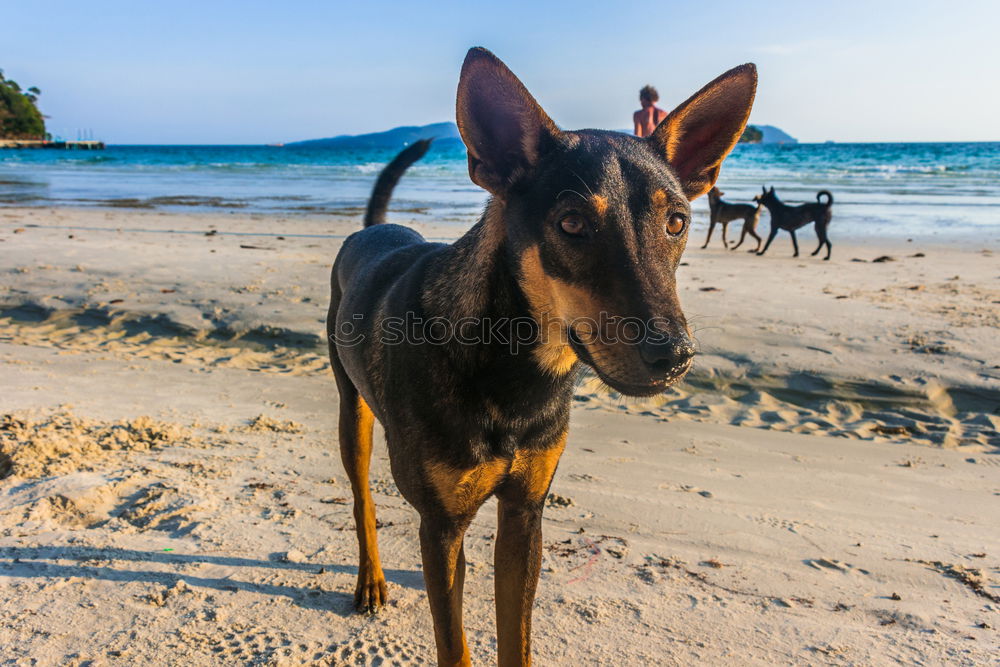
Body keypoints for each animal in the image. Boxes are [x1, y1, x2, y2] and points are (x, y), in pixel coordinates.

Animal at [324, 48, 752, 667]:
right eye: (571, 223)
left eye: (677, 222)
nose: (674, 355)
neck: (514, 367)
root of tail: (375, 231)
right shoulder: (442, 524)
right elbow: (453, 643)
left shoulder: (526, 514)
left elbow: (515, 635)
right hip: (352, 413)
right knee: (362, 502)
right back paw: (371, 581)